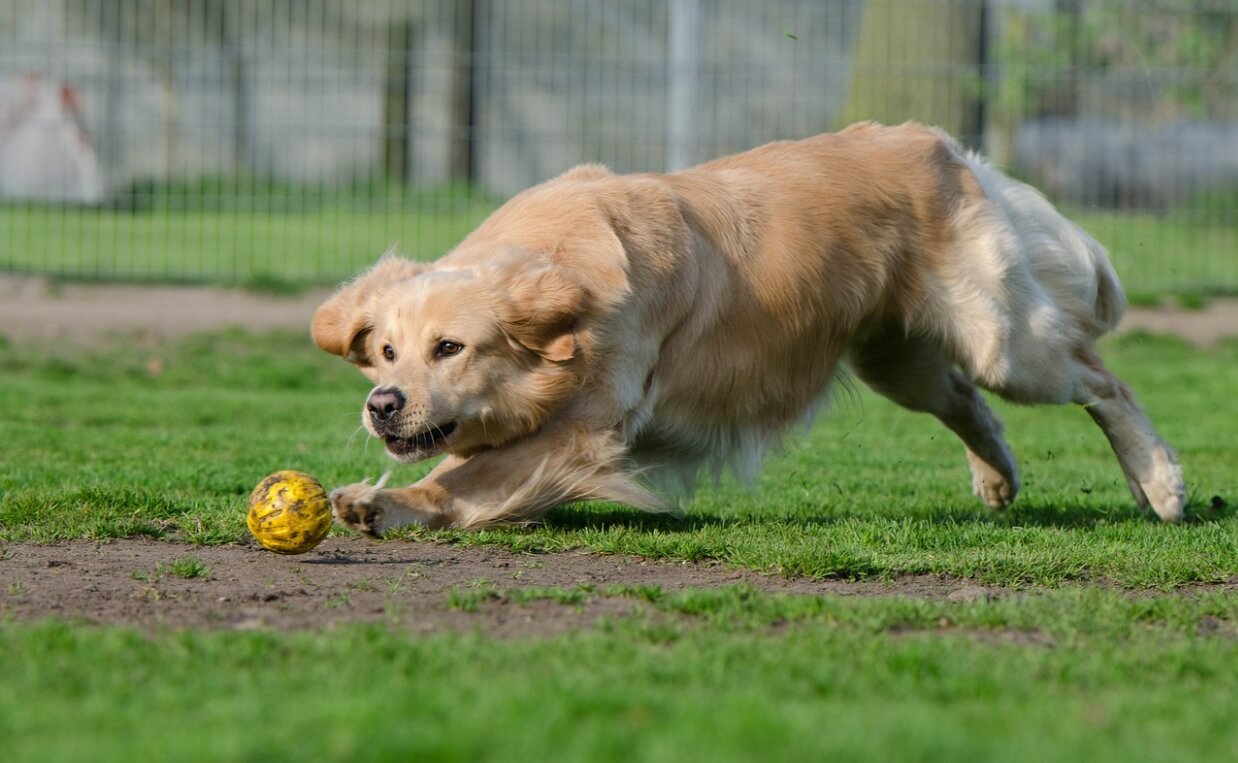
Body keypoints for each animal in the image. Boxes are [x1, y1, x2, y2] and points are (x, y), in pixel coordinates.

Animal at [314, 122, 1183, 532]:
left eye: (450, 348)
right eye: (386, 351)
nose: (382, 404)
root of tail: (938, 143)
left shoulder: (580, 432)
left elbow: (462, 475)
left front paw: (388, 501)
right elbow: (460, 472)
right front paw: (379, 503)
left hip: (1003, 339)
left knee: (1101, 379)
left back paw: (1161, 482)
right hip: (897, 358)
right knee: (970, 402)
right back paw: (998, 478)